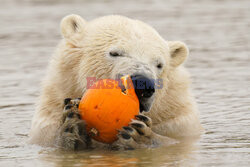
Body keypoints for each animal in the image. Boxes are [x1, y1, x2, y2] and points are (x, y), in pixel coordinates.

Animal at [29, 14, 202, 150]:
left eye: (159, 64)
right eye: (115, 53)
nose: (142, 84)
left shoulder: (176, 122)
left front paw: (140, 136)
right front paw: (72, 126)